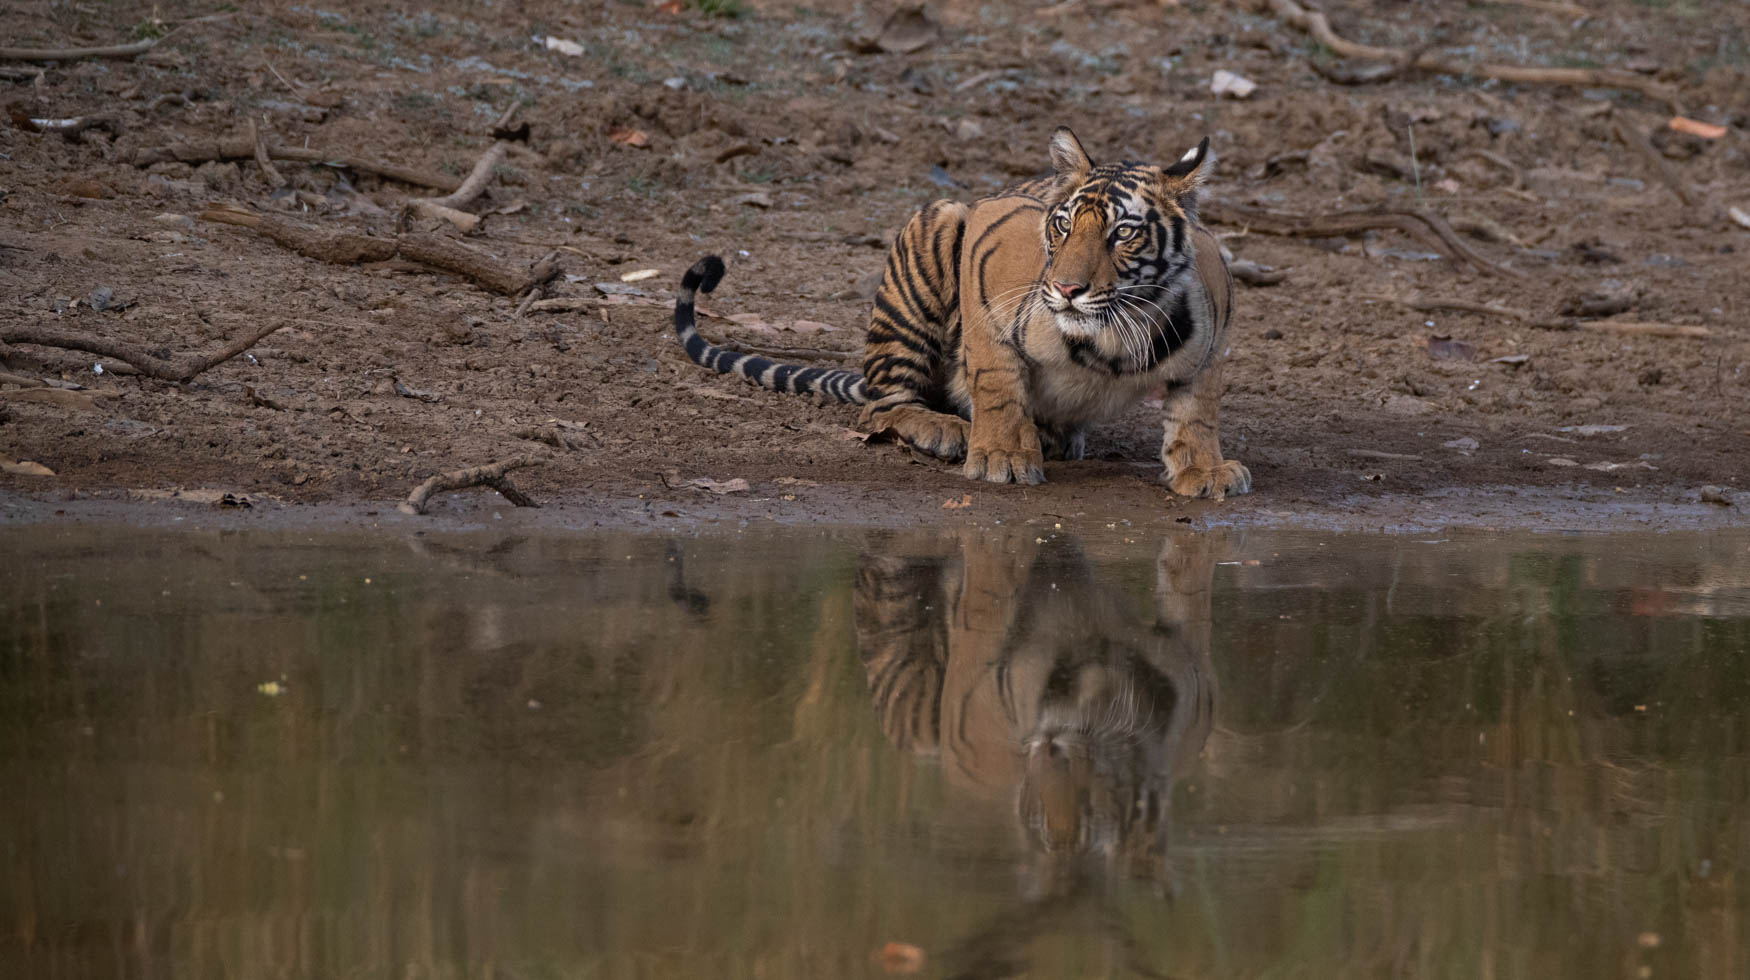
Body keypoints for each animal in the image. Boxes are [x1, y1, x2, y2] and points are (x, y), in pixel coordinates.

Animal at [672, 124, 1260, 497]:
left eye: (1123, 234)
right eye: (1064, 225)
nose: (1067, 288)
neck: (1113, 335)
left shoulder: (1213, 339)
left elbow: (1198, 412)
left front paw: (1205, 471)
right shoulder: (988, 260)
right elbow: (997, 380)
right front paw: (1001, 457)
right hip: (936, 229)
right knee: (882, 407)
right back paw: (945, 429)